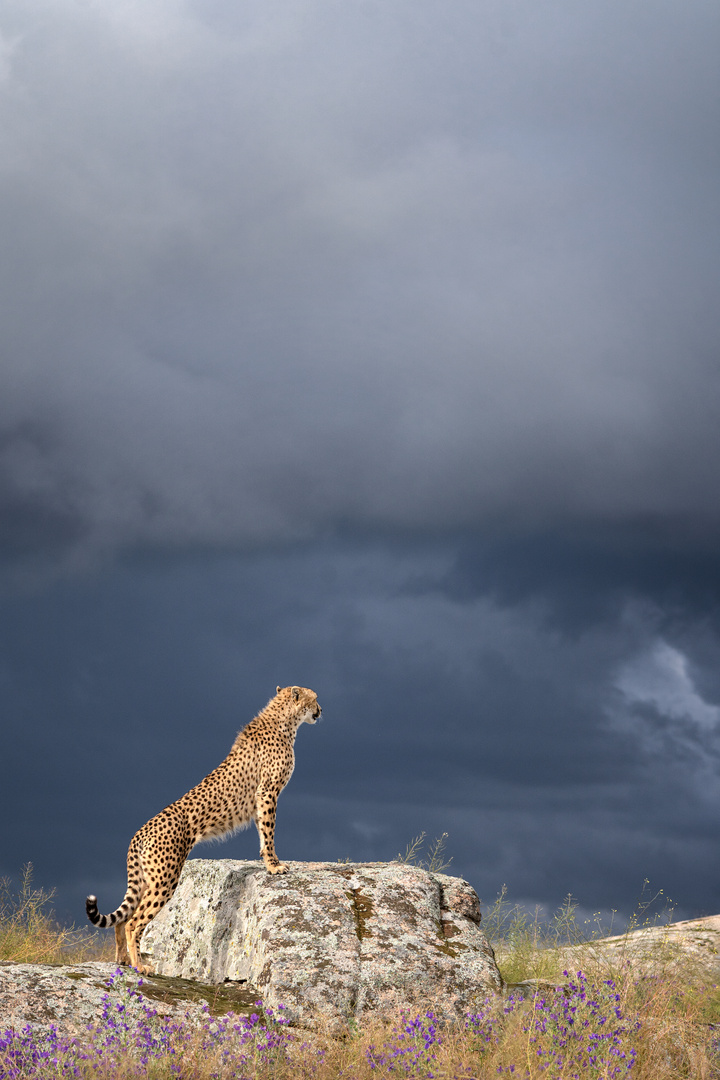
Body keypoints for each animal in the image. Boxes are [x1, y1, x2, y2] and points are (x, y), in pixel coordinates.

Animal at [85, 686, 321, 976]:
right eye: (315, 699)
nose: (321, 710)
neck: (284, 721)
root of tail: (139, 832)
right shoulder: (267, 793)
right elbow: (269, 833)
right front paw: (275, 866)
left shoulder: (258, 800)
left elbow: (263, 834)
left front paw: (268, 862)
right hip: (165, 878)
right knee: (133, 921)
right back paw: (140, 965)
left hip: (147, 877)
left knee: (123, 918)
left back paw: (122, 960)